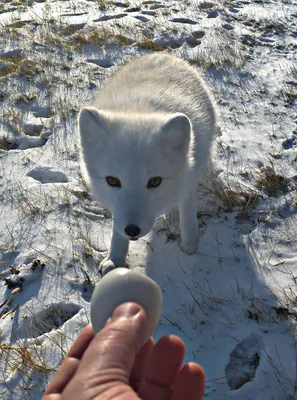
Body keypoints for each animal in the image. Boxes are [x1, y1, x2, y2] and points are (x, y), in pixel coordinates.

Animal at [77, 53, 219, 274]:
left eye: (154, 182)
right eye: (112, 181)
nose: (132, 230)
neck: (139, 109)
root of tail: (164, 54)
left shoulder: (189, 176)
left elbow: (187, 210)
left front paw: (190, 243)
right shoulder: (119, 210)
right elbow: (117, 227)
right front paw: (115, 259)